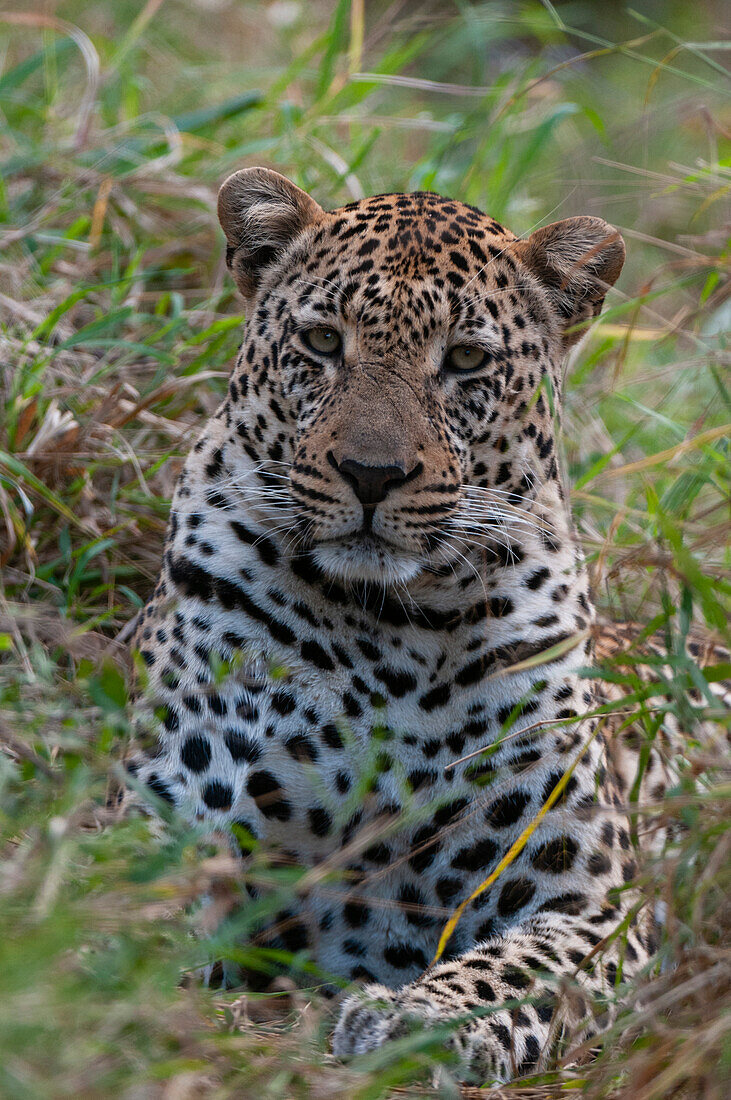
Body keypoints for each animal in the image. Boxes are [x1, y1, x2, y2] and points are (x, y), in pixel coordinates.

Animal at [126, 169, 725, 1082]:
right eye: (321, 342)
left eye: (467, 360)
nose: (370, 473)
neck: (393, 632)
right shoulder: (171, 818)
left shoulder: (589, 901)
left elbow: (513, 970)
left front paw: (415, 1020)